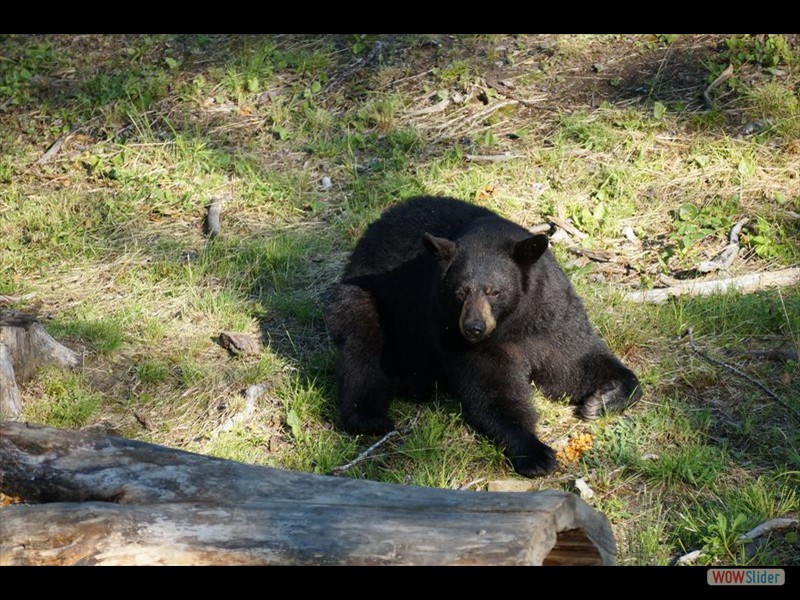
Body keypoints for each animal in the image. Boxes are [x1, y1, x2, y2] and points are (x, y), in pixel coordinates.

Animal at [325, 196, 641, 477]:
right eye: (460, 292)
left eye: (494, 291)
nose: (473, 328)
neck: (513, 324)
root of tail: (371, 229)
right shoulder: (453, 331)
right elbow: (491, 388)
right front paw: (535, 452)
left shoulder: (552, 317)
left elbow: (575, 361)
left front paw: (602, 398)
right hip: (368, 299)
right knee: (361, 352)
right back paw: (370, 419)